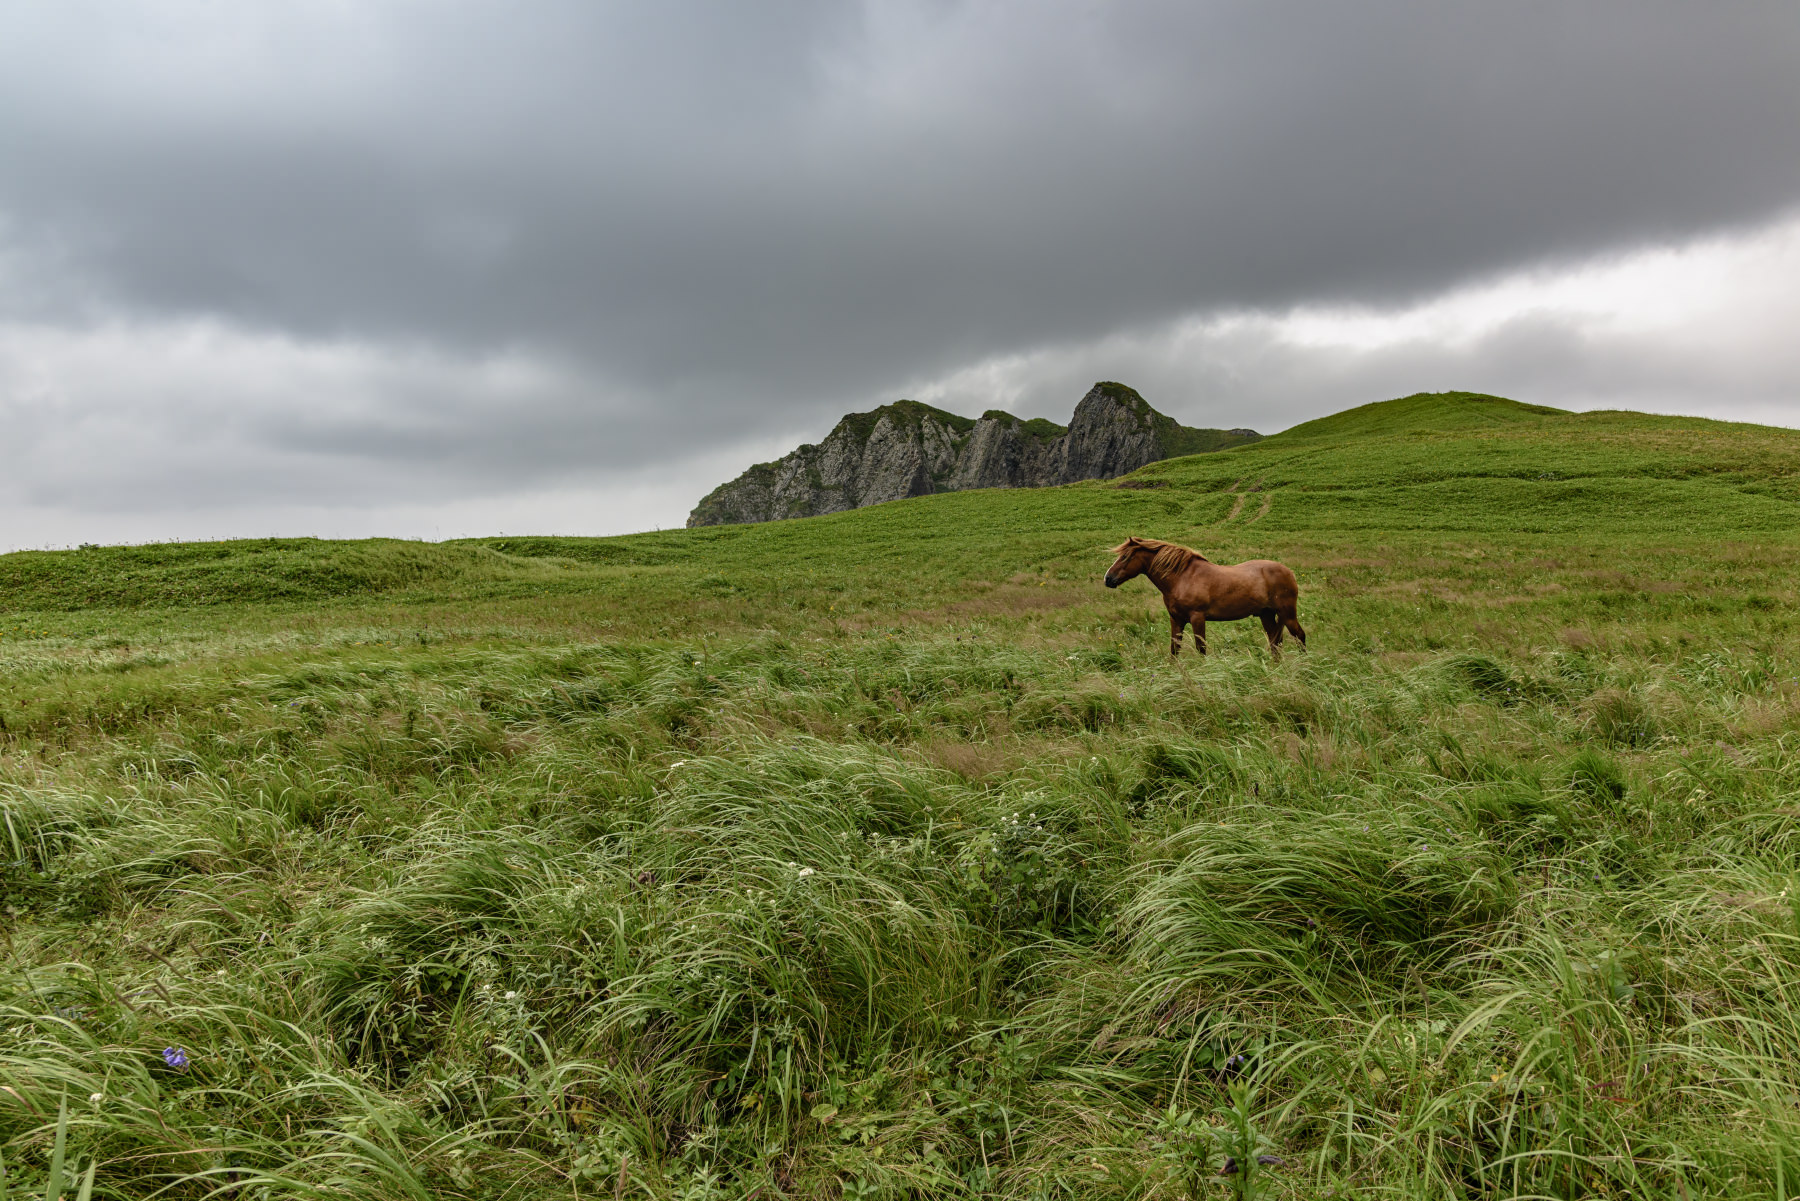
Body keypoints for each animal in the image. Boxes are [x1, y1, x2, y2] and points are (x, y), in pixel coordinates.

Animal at [1094, 540, 1310, 659]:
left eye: (1126, 557)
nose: (1108, 578)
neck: (1182, 577)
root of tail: (1288, 572)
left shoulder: (1197, 618)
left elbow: (1201, 649)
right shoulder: (1177, 619)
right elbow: (1174, 649)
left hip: (1287, 613)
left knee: (1299, 636)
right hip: (1266, 615)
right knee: (1275, 642)